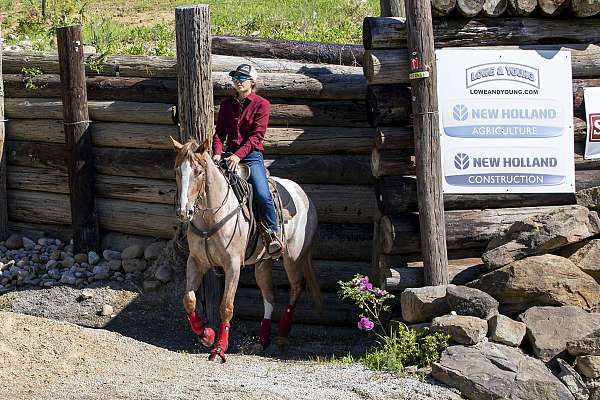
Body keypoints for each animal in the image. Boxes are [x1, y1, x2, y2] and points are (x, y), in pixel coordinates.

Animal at [171, 137, 322, 362]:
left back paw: (282, 336)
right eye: (177, 170)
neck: (210, 217)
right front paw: (206, 334)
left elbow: (226, 306)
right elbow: (188, 300)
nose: (183, 211)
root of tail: (305, 196)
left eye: (198, 171)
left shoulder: (233, 265)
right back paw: (262, 342)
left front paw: (219, 349)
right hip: (263, 263)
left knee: (296, 288)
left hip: (293, 258)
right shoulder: (196, 261)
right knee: (269, 297)